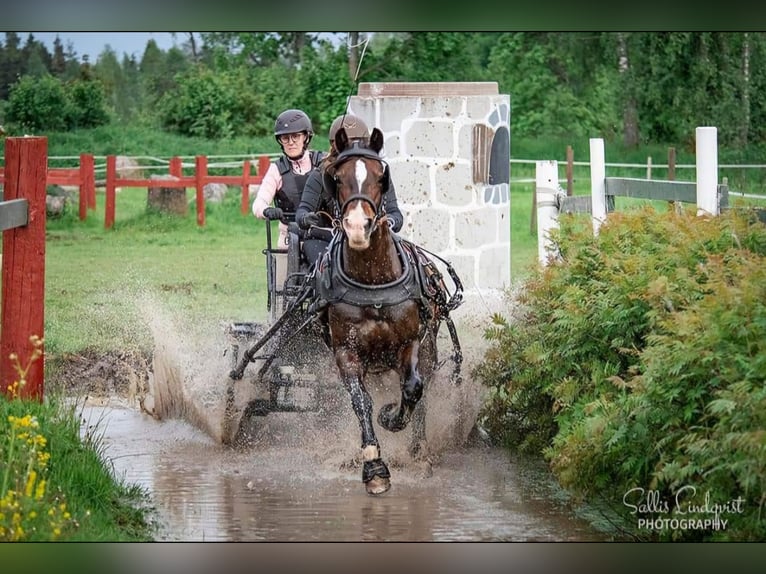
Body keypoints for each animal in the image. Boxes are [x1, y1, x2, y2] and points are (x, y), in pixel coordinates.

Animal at [316, 126, 464, 496]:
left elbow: (412, 388)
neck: (372, 281)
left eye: (381, 177)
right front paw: (374, 466)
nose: (357, 226)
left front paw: (391, 418)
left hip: (429, 344)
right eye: (336, 177)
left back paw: (419, 449)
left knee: (422, 388)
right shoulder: (346, 351)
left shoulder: (409, 342)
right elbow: (361, 401)